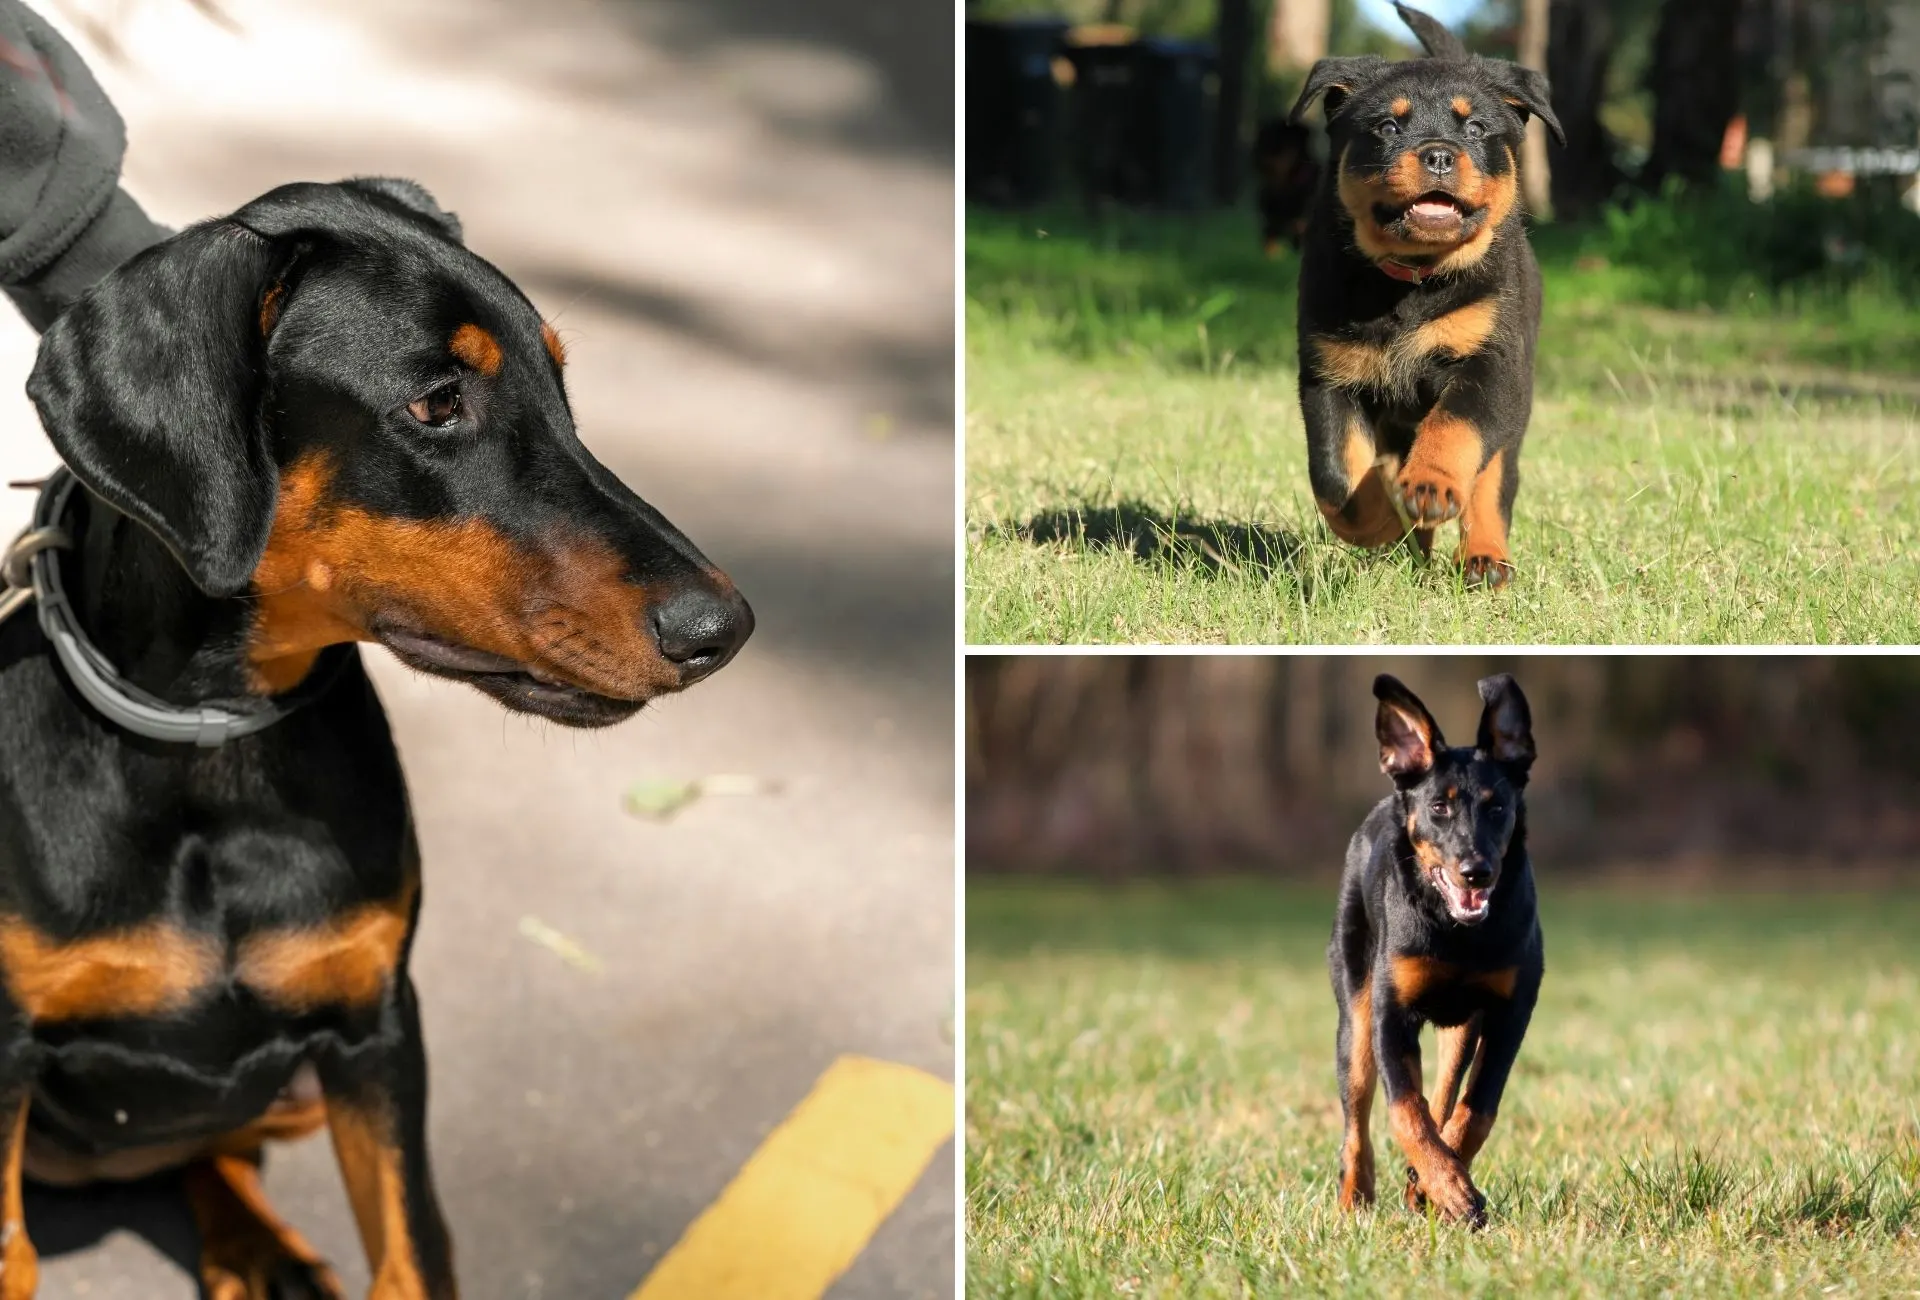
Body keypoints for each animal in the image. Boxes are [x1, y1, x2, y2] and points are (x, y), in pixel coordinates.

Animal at [0, 177, 752, 1290]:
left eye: (560, 381)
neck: (214, 755)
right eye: (436, 402)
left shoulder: (378, 1027)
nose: (723, 629)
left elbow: (412, 1250)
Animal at [1290, 5, 1559, 587]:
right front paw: (1382, 521)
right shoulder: (1328, 375)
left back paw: (1484, 557)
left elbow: (1454, 428)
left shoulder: (1491, 366)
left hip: (1516, 407)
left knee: (1494, 479)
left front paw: (1430, 487)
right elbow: (1336, 478)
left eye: (1476, 128)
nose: (1437, 155)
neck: (1411, 281)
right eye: (1388, 126)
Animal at [1328, 675, 1551, 1221]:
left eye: (1497, 806)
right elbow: (1405, 1109)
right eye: (1439, 807)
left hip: (1461, 1026)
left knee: (1447, 1092)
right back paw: (1355, 1199)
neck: (1458, 932)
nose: (1477, 871)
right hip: (1355, 1012)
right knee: (1357, 1117)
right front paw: (1450, 1187)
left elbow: (1476, 1107)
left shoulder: (1511, 1010)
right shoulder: (1390, 1013)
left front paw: (1441, 1186)